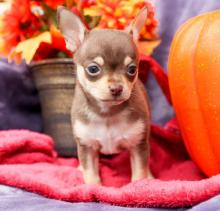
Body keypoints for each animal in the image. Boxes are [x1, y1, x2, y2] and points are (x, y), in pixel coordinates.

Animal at [57, 6, 152, 184]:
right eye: (93, 69)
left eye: (132, 69)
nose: (116, 88)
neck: (107, 113)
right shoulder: (87, 147)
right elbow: (91, 174)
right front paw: (93, 186)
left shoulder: (138, 144)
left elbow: (139, 173)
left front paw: (141, 184)